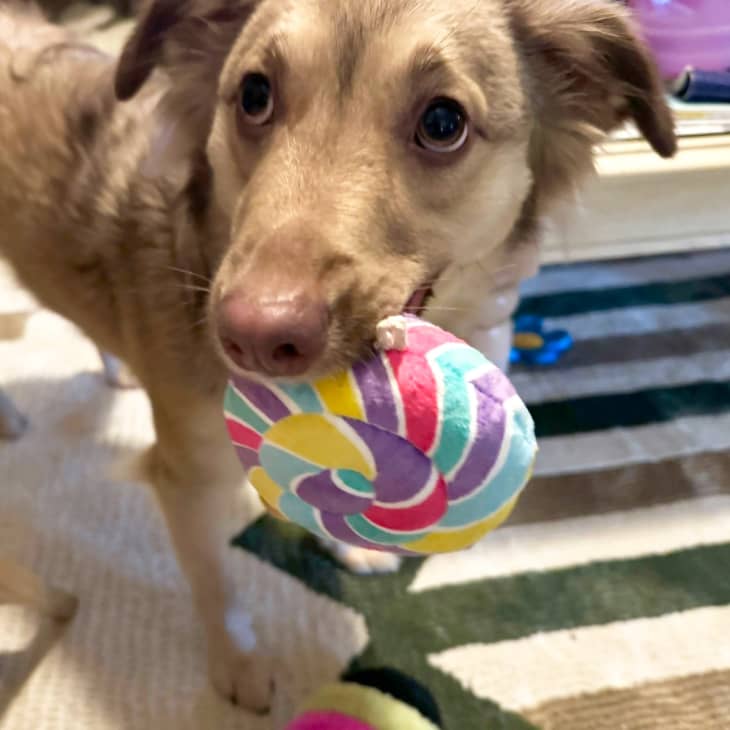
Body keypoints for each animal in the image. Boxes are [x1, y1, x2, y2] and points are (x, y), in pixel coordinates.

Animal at [0, 0, 672, 708]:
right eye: (254, 95)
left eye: (443, 123)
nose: (253, 338)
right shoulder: (187, 479)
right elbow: (218, 583)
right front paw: (239, 665)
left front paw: (350, 545)